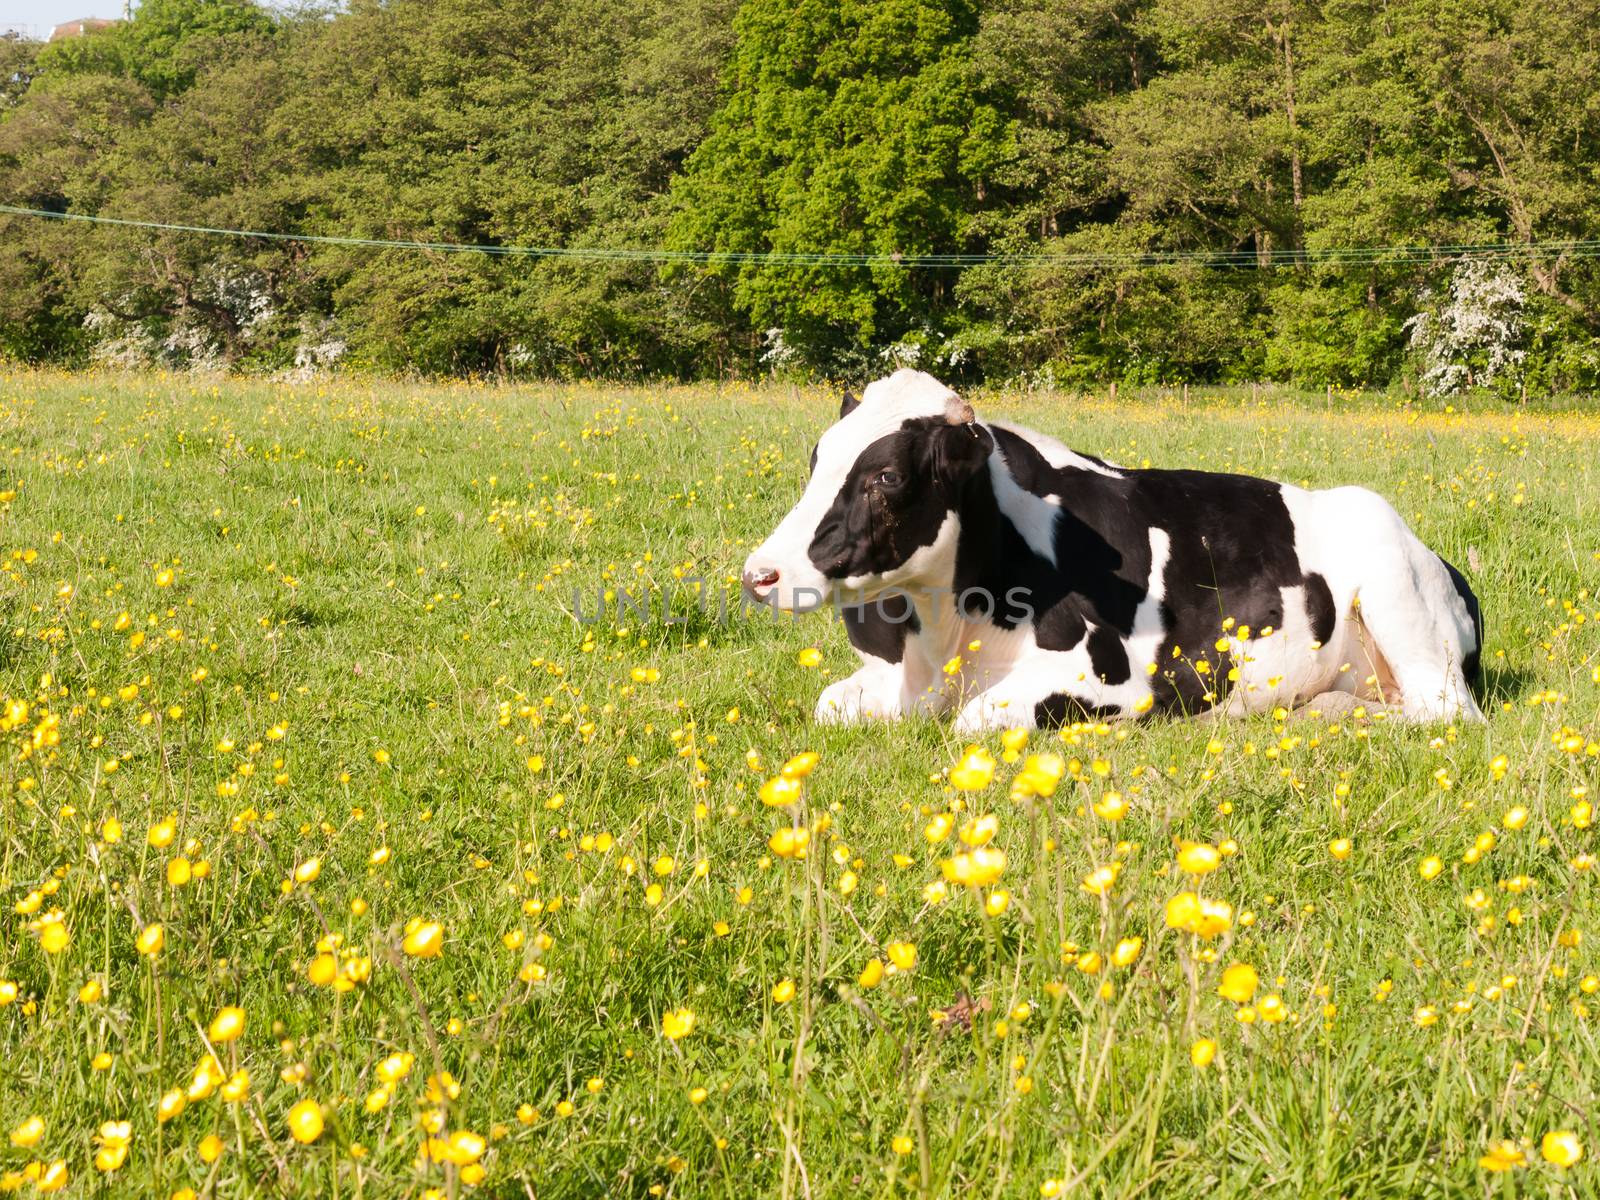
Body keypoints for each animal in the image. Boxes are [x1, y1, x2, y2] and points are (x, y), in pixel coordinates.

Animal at [742, 369, 1478, 732]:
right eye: (818, 457)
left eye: (887, 476)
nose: (760, 574)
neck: (942, 640)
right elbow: (830, 705)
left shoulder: (1116, 681)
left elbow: (976, 719)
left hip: (1399, 599)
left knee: (1443, 713)